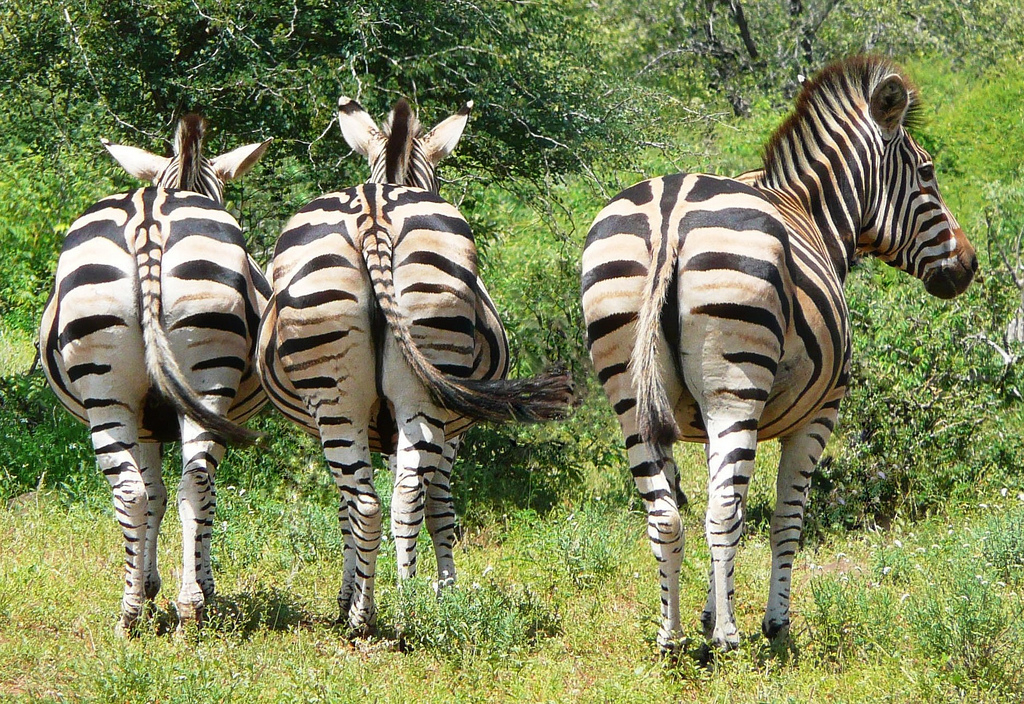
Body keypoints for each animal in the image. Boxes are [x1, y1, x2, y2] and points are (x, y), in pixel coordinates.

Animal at [39, 114, 272, 634]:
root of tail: (148, 217)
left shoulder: (145, 421)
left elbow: (156, 494)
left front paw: (150, 586)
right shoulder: (161, 420)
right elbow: (170, 494)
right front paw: (181, 584)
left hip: (111, 389)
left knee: (139, 491)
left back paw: (135, 612)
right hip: (196, 386)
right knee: (191, 486)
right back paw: (187, 605)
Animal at [256, 97, 577, 634]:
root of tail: (373, 210)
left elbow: (356, 508)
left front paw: (356, 593)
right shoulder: (448, 427)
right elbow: (437, 504)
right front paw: (441, 589)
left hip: (343, 394)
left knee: (375, 502)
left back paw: (373, 613)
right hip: (415, 387)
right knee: (403, 497)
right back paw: (403, 604)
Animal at [581, 56, 978, 654]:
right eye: (928, 173)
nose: (970, 264)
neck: (811, 212)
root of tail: (670, 211)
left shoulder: (702, 420)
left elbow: (736, 506)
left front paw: (706, 613)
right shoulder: (818, 415)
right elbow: (783, 521)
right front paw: (773, 624)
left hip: (630, 390)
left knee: (666, 515)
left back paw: (671, 637)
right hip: (736, 384)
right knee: (720, 513)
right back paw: (729, 639)